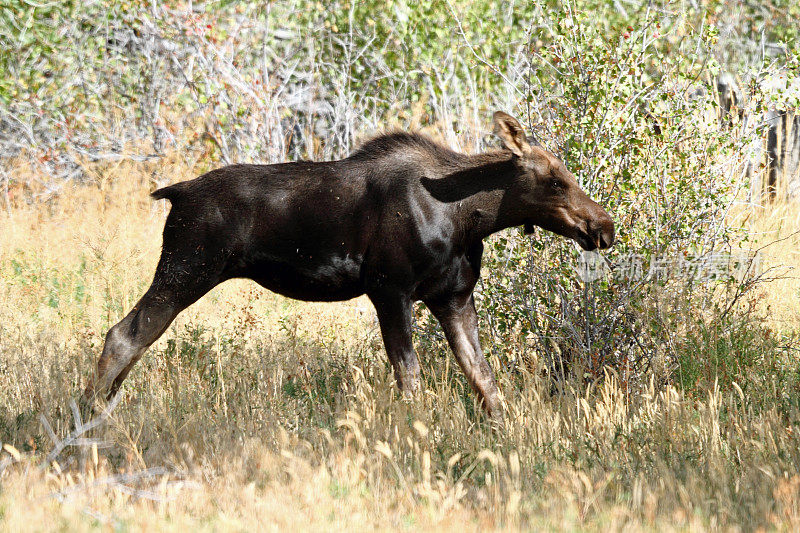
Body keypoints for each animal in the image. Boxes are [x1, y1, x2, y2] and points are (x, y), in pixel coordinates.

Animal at [83, 112, 612, 420]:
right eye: (555, 180)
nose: (603, 227)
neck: (469, 218)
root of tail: (175, 193)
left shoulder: (453, 297)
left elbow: (484, 381)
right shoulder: (389, 289)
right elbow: (410, 378)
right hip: (186, 269)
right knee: (123, 334)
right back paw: (87, 416)